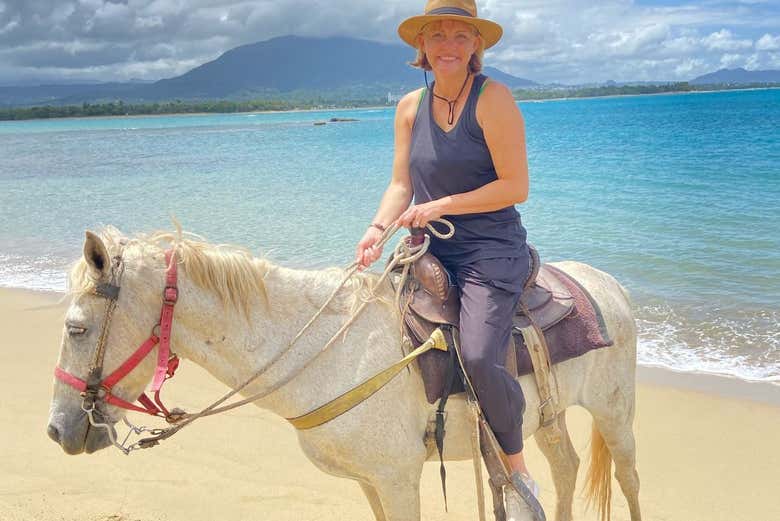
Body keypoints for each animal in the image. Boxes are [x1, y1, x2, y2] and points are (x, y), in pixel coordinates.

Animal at [47, 228, 641, 521]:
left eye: (76, 328)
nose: (57, 430)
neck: (327, 354)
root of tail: (608, 282)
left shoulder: (399, 478)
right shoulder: (369, 483)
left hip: (615, 412)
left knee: (627, 480)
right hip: (547, 417)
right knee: (564, 470)